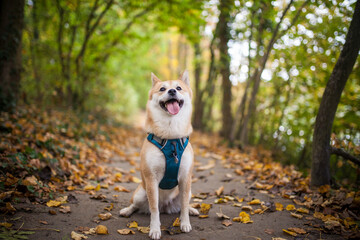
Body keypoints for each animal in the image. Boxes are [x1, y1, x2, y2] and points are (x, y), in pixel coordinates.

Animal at [120, 71, 200, 240]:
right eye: (162, 89)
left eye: (178, 87)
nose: (172, 91)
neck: (171, 138)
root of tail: (166, 206)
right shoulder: (151, 179)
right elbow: (154, 209)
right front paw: (155, 229)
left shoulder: (185, 178)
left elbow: (184, 205)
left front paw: (185, 222)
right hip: (140, 193)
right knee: (136, 205)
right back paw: (127, 210)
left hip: (188, 191)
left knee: (183, 203)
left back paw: (192, 209)